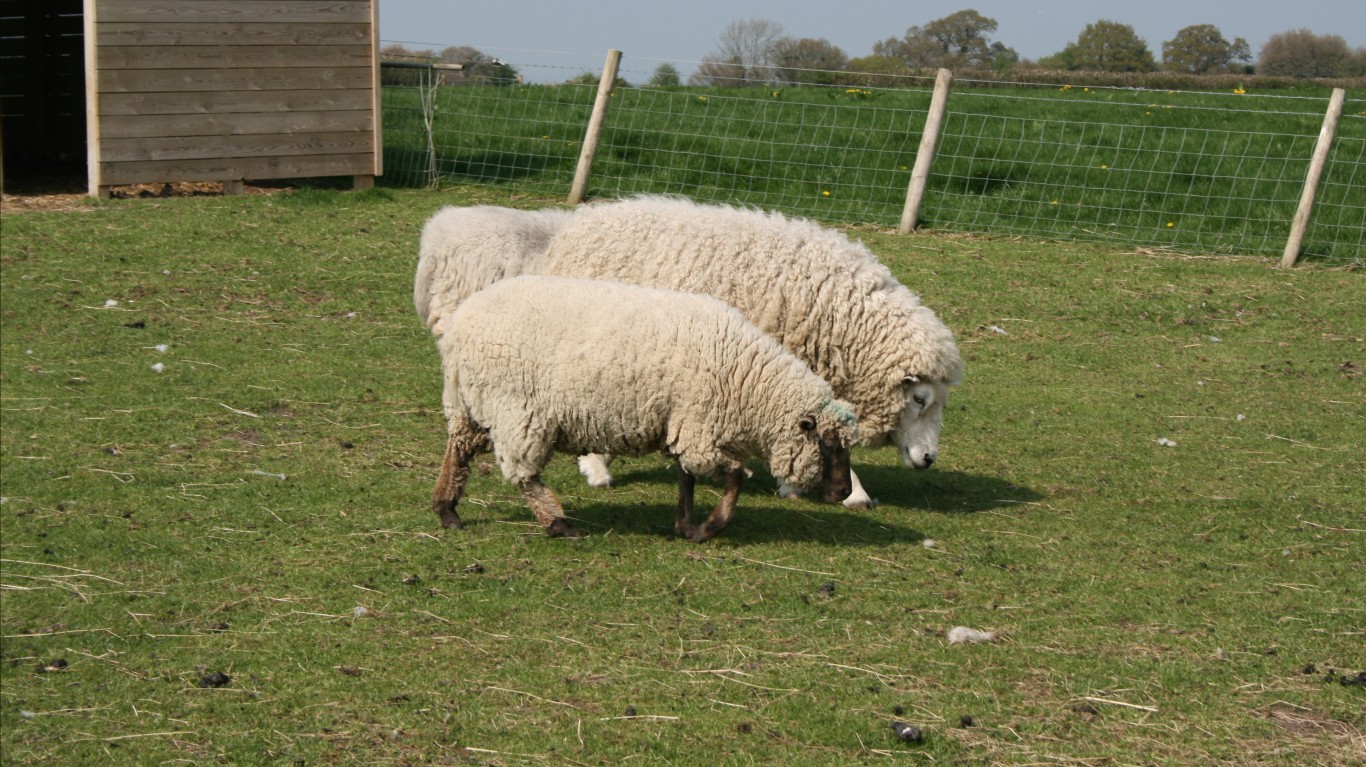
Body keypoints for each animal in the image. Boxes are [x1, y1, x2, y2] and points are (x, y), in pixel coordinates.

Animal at [431, 272, 857, 541]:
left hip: (471, 403)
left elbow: (687, 479)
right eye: (827, 444)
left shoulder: (686, 425)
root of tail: (460, 322)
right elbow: (734, 477)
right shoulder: (699, 428)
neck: (746, 378)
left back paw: (447, 509)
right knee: (522, 473)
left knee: (459, 448)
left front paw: (686, 527)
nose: (843, 492)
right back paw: (557, 522)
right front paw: (709, 528)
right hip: (516, 408)